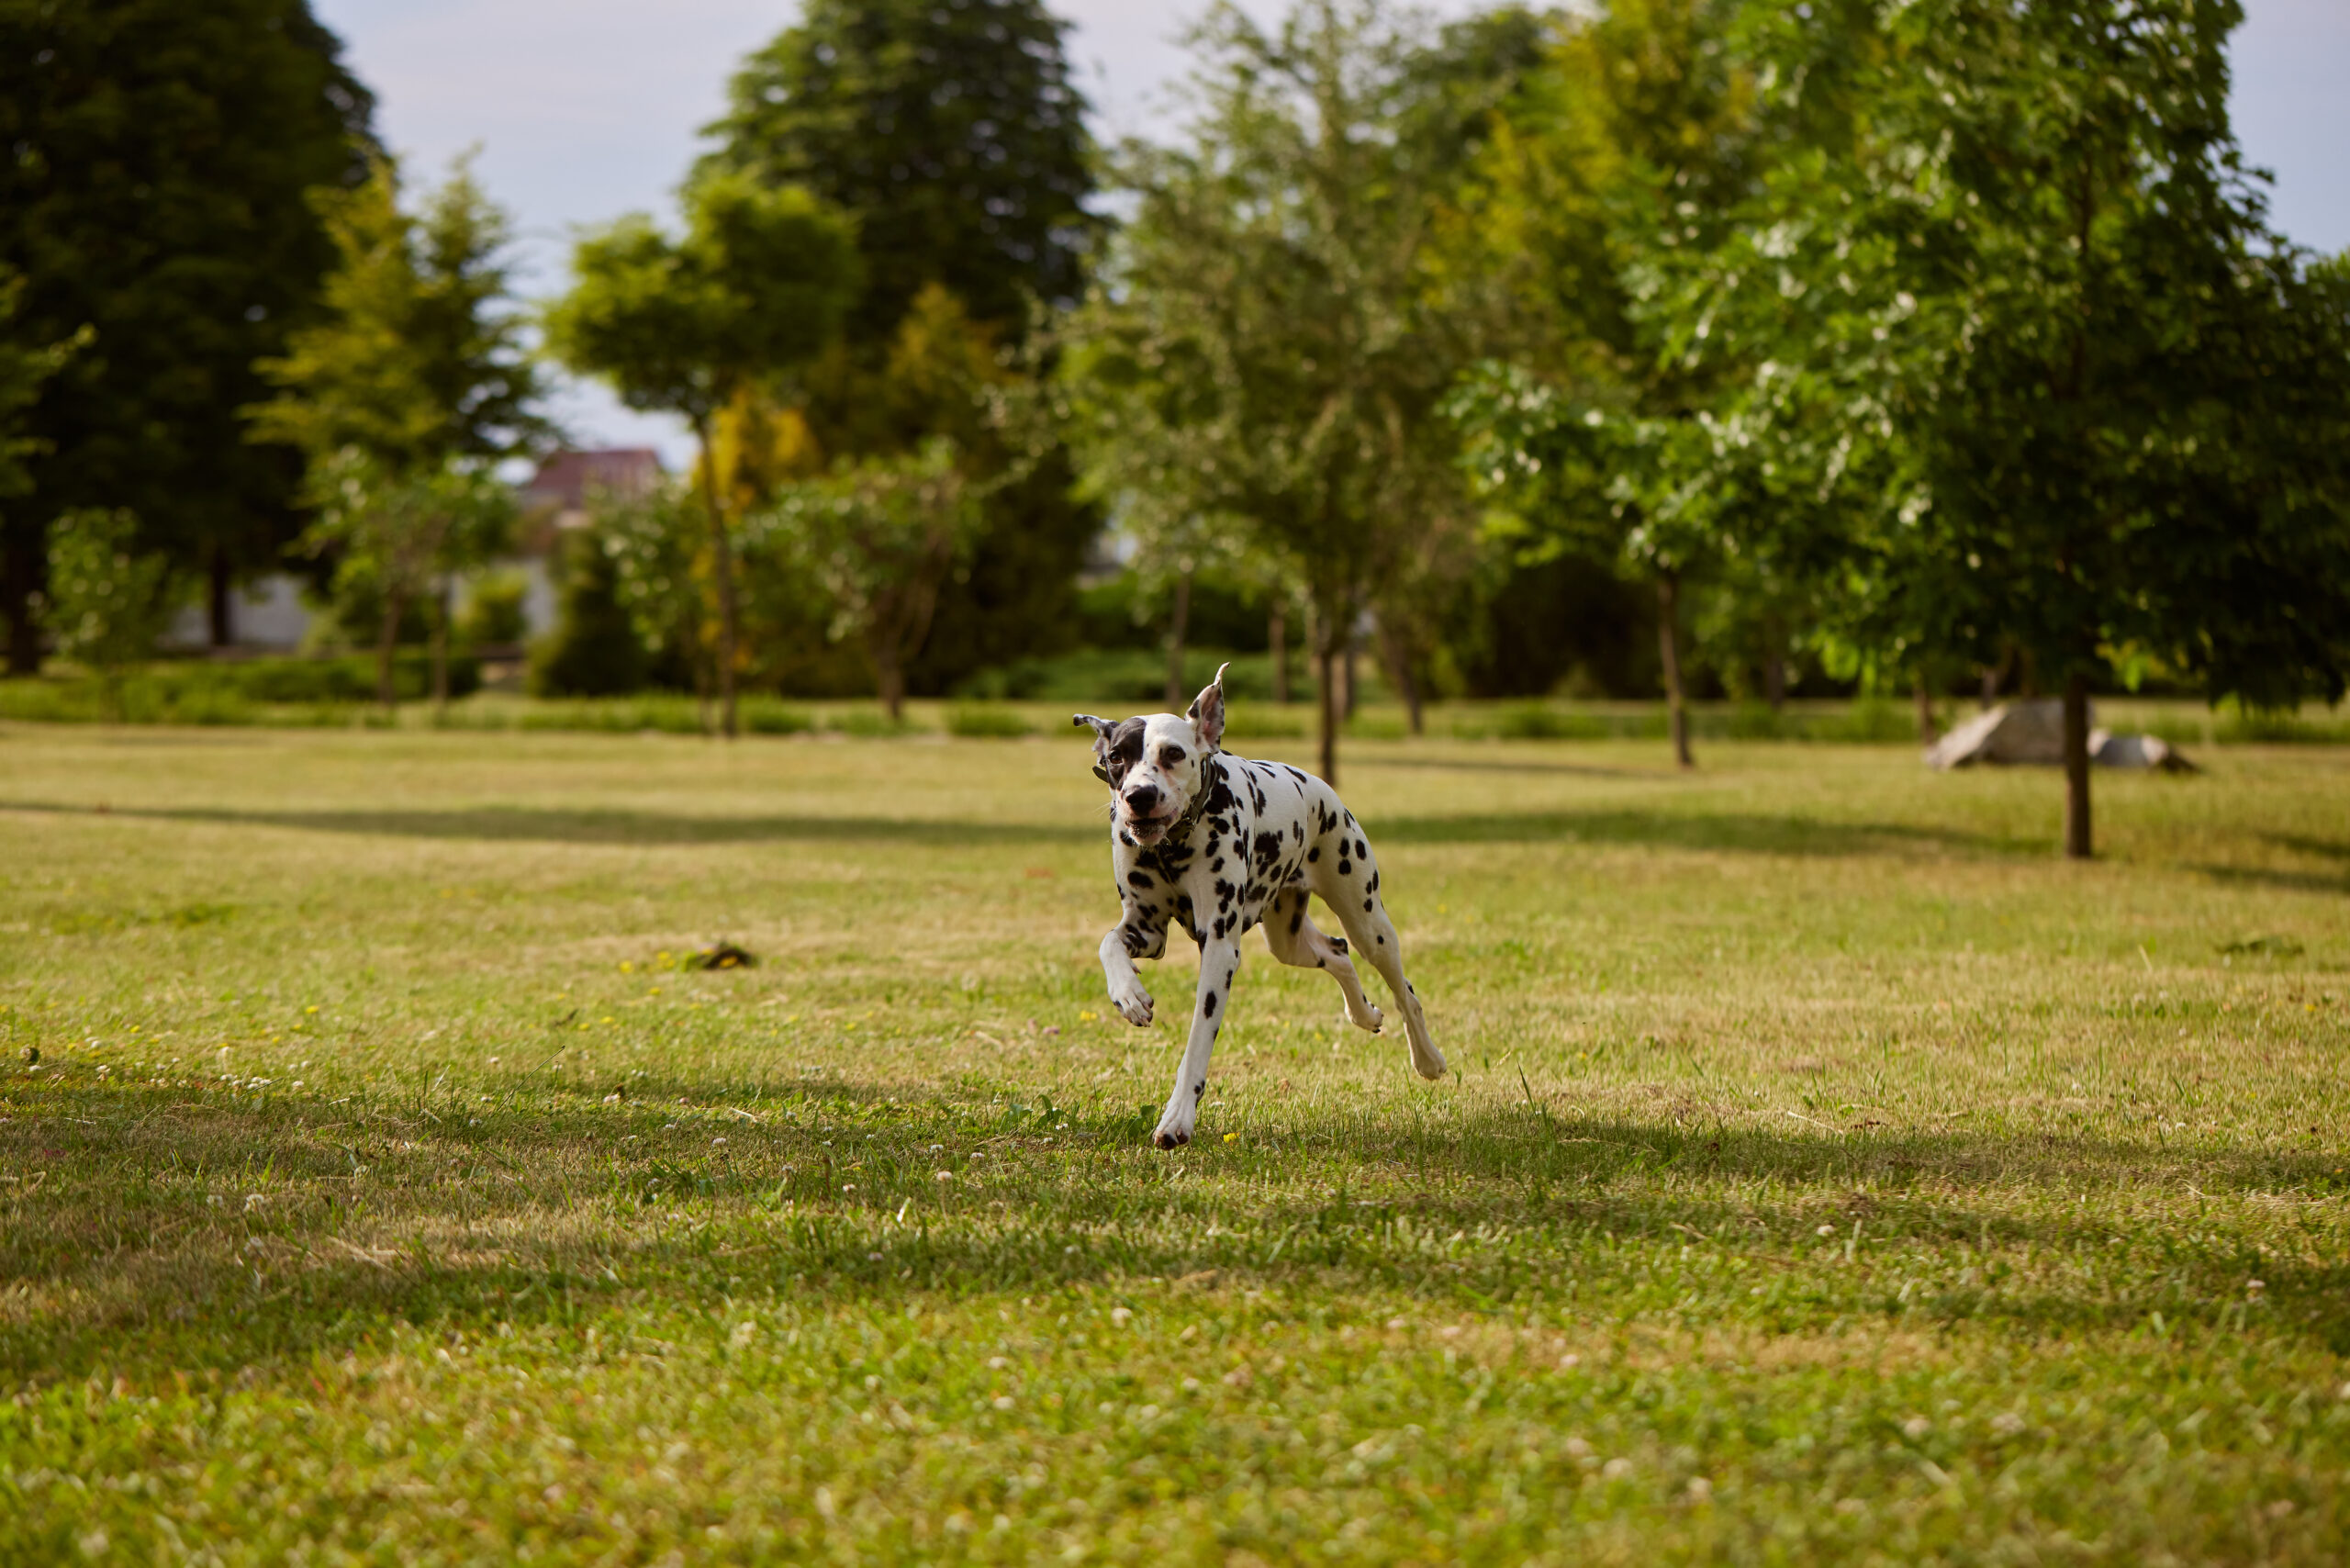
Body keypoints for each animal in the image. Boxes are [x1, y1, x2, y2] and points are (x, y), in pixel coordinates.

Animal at [1076, 667, 1438, 1151]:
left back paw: (1428, 1059)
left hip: (1368, 922)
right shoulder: (1146, 930)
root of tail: (1318, 786)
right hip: (1288, 940)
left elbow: (1197, 1043)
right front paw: (1129, 995)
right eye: (1116, 757)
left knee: (1403, 990)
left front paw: (1177, 1118)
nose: (1139, 795)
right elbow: (1107, 943)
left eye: (1173, 753)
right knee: (1337, 951)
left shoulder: (1219, 948)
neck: (1173, 849)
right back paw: (1364, 1013)